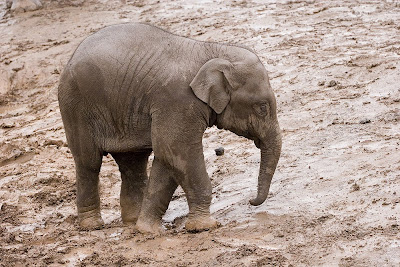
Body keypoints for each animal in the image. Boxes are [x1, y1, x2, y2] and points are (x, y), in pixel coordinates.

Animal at [58, 22, 282, 233]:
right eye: (262, 107)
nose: (251, 201)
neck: (214, 51)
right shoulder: (177, 103)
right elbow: (176, 152)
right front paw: (204, 227)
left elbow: (167, 158)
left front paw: (148, 230)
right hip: (76, 108)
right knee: (89, 162)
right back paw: (92, 226)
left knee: (133, 163)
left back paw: (132, 222)